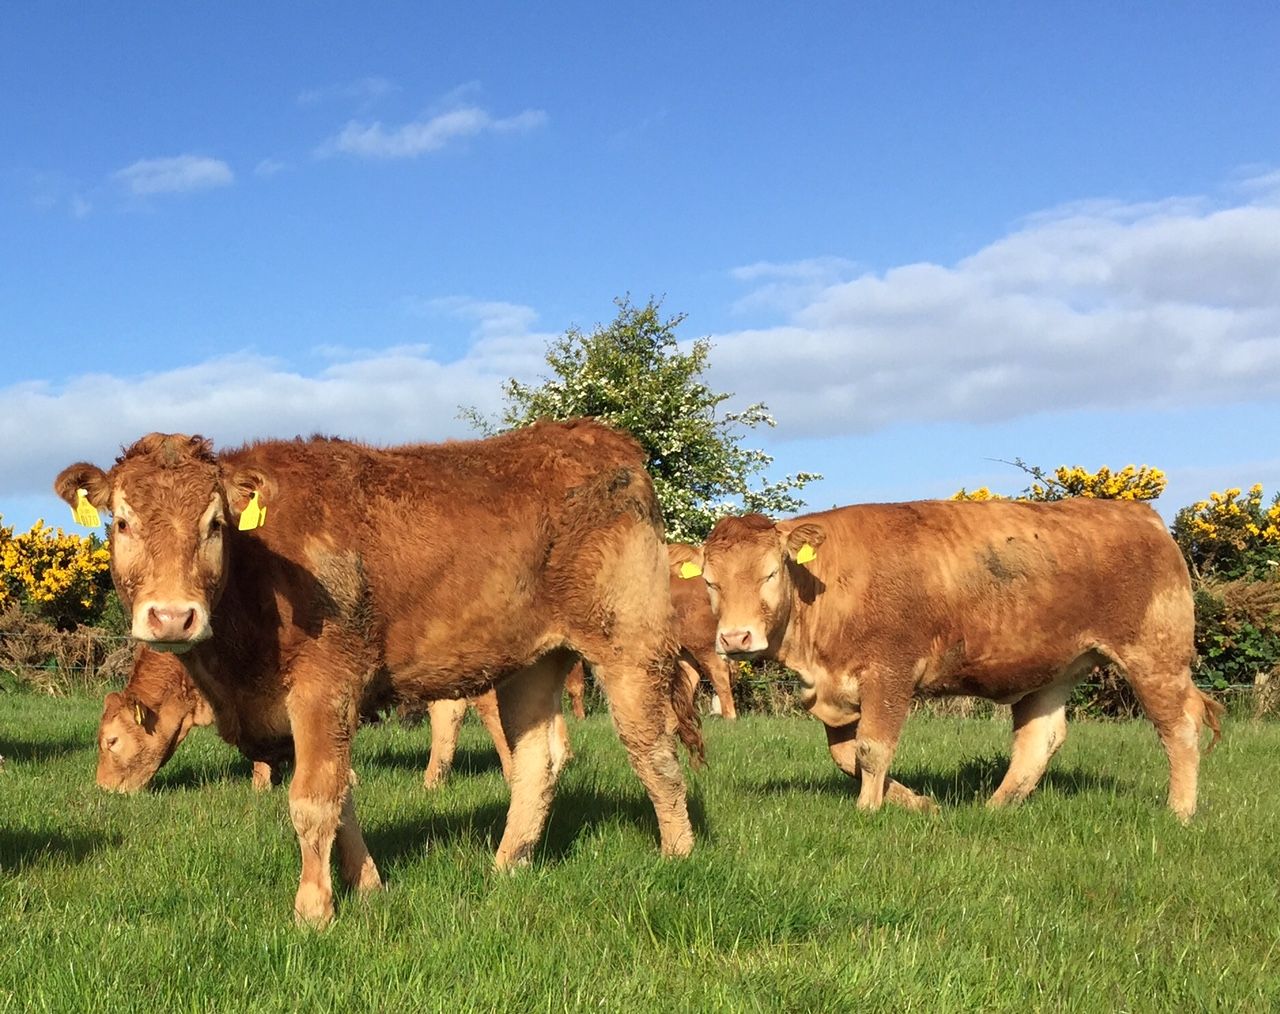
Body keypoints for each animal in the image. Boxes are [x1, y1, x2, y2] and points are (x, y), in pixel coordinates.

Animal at [685, 500, 1223, 821]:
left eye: (770, 573)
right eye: (710, 581)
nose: (735, 637)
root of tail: (1141, 515)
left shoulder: (889, 673)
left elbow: (872, 749)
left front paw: (868, 810)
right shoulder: (834, 690)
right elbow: (845, 755)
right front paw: (918, 802)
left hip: (1154, 657)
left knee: (1180, 728)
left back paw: (1179, 812)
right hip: (1054, 670)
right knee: (1040, 739)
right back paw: (995, 807)